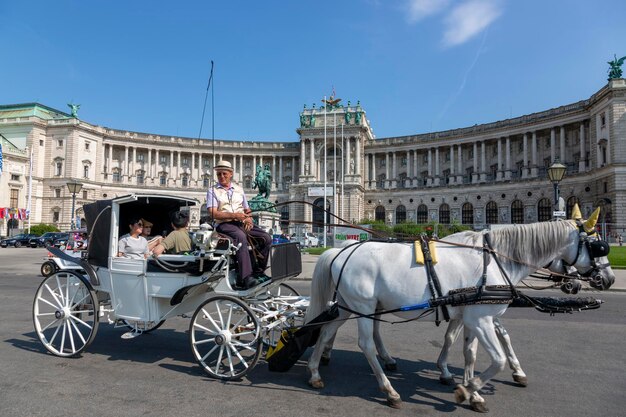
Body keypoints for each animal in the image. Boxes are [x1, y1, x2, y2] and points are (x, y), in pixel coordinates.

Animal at [304, 219, 612, 408]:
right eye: (598, 246)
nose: (608, 279)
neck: (495, 259)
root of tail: (341, 251)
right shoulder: (481, 319)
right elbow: (497, 358)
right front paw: (469, 389)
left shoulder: (472, 317)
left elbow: (469, 351)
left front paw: (468, 387)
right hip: (364, 305)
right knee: (365, 343)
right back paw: (389, 390)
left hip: (350, 305)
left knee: (327, 330)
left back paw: (316, 372)